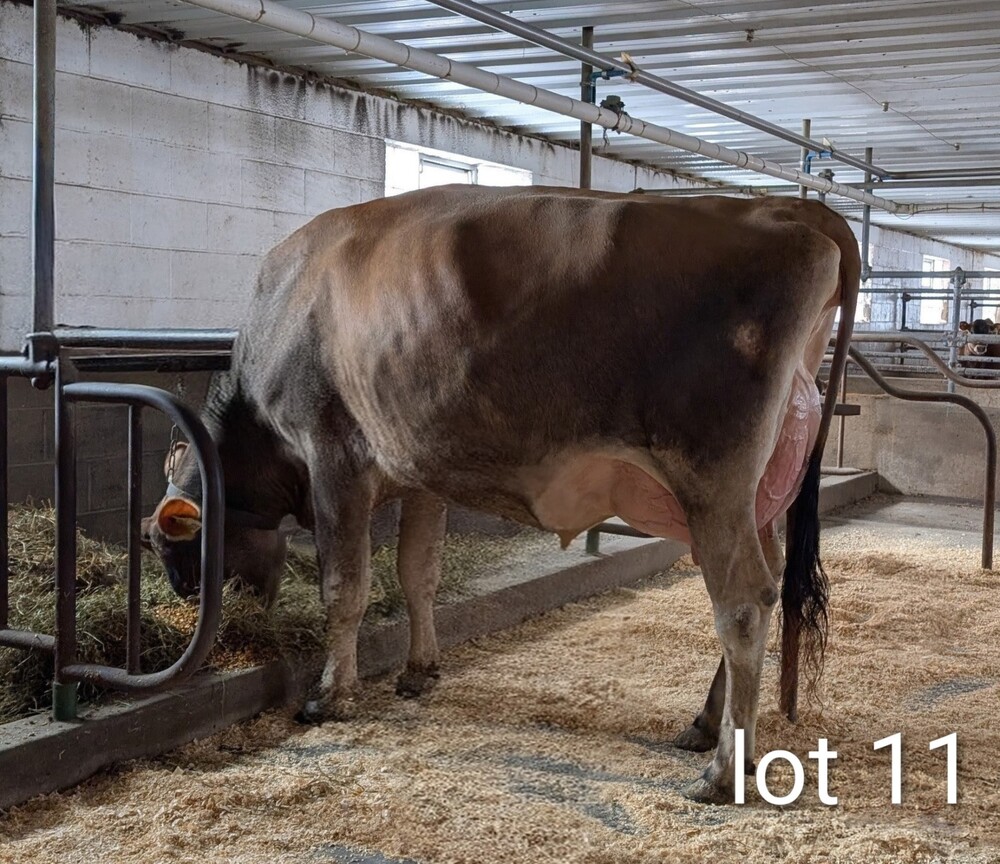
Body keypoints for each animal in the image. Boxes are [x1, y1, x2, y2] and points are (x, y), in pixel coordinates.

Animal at [142, 186, 859, 804]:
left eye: (163, 543)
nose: (184, 599)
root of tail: (789, 207)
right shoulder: (420, 469)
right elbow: (418, 572)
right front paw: (419, 671)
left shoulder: (332, 457)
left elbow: (344, 588)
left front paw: (329, 695)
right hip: (755, 494)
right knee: (763, 586)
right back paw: (705, 725)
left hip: (712, 476)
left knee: (742, 602)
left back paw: (723, 771)